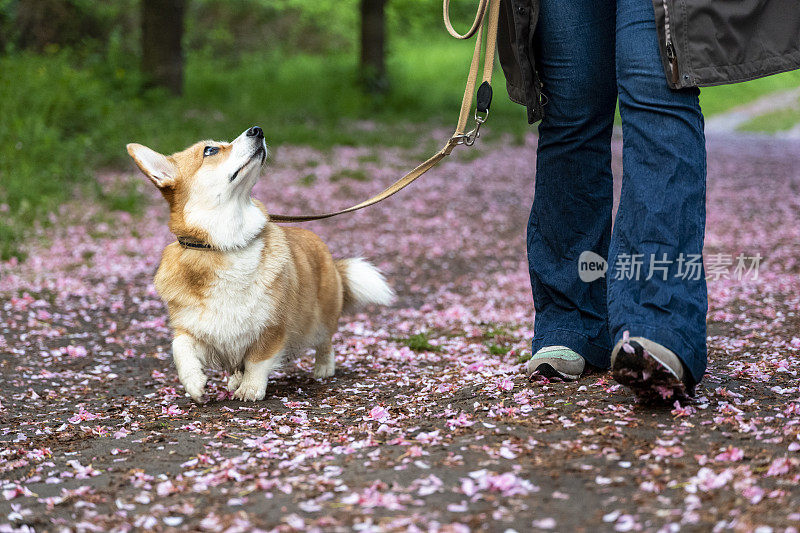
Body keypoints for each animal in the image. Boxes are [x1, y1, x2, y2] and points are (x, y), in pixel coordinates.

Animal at [126, 127, 396, 402]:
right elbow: (179, 347)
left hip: (321, 318)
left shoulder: (271, 327)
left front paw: (251, 389)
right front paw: (194, 383)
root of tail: (329, 256)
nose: (257, 130)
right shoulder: (193, 328)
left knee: (325, 342)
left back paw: (323, 368)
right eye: (210, 150)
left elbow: (258, 361)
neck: (226, 245)